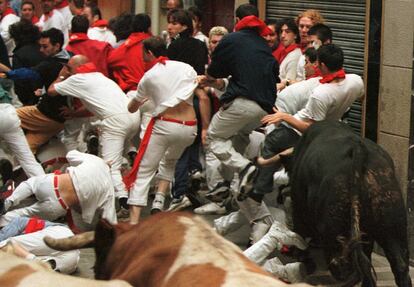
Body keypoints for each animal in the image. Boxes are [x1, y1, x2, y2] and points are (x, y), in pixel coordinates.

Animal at [284, 121, 412, 287]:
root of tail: (359, 150)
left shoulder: (299, 209)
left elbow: (299, 235)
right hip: (393, 224)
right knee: (398, 266)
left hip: (335, 233)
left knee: (344, 268)